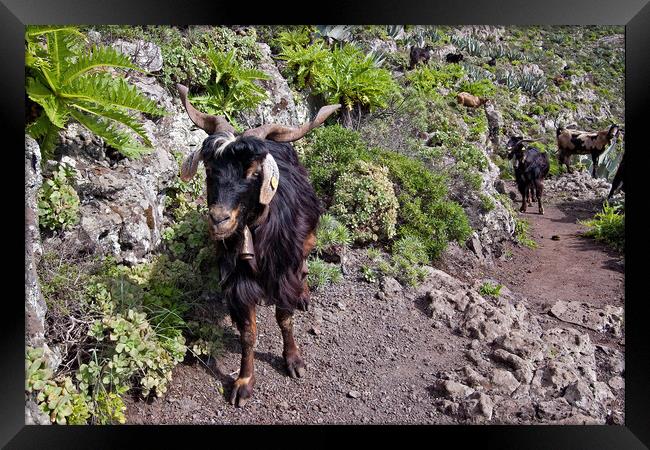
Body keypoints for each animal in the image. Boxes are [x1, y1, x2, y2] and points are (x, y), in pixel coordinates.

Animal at [175, 83, 342, 408]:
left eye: (254, 173)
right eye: (209, 169)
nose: (219, 219)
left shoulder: (283, 270)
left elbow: (284, 317)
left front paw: (293, 360)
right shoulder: (238, 282)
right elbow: (248, 334)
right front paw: (243, 382)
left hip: (307, 237)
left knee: (305, 262)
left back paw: (304, 294)